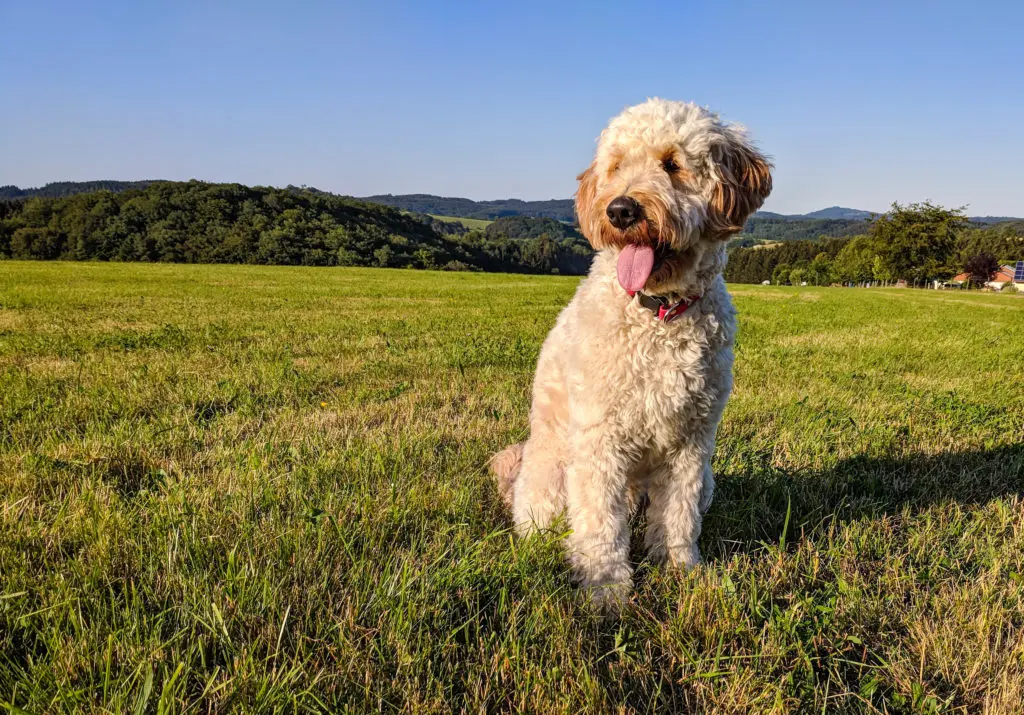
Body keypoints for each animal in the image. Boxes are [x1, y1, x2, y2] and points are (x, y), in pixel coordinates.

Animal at [491, 97, 770, 602]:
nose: (620, 210)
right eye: (616, 166)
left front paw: (681, 571)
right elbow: (600, 526)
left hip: (707, 480)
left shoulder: (690, 443)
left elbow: (678, 516)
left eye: (673, 164)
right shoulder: (600, 440)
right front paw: (606, 590)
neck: (658, 315)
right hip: (553, 478)